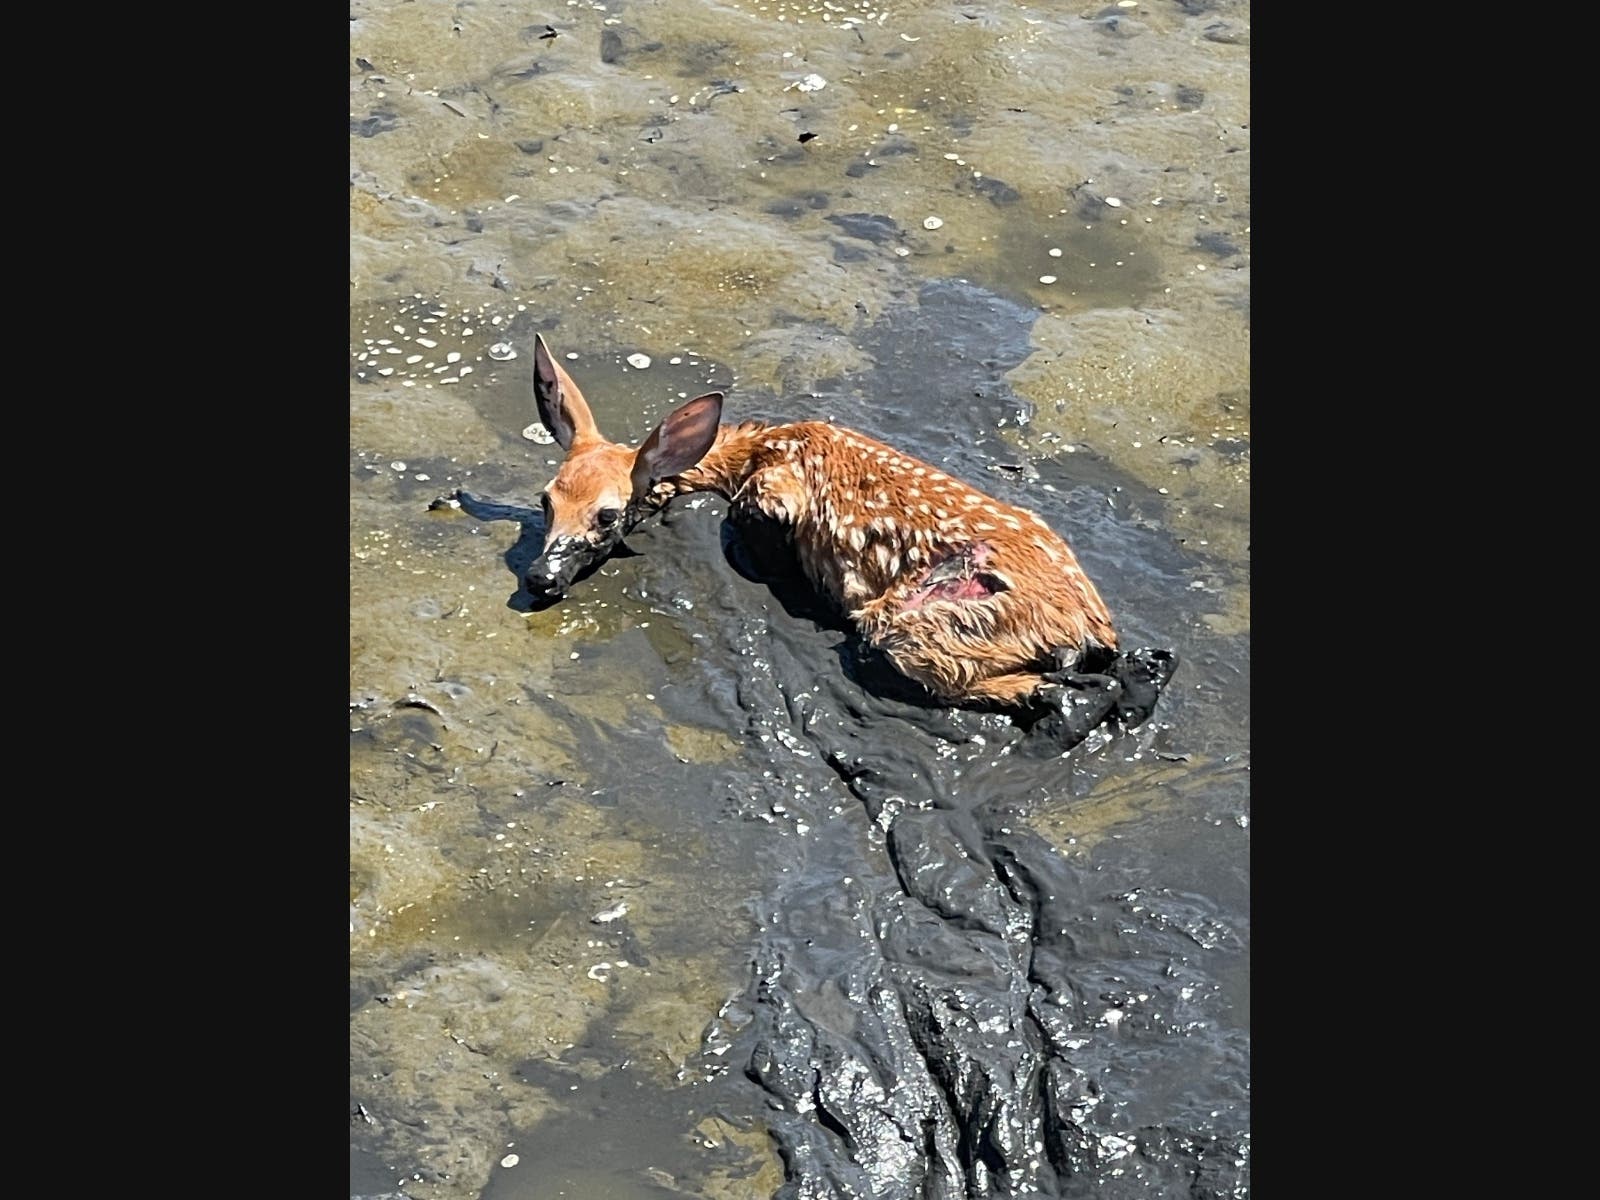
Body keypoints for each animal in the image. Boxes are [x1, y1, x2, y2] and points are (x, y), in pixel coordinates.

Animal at [517, 334, 1175, 745]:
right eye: (545, 500)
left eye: (606, 516)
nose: (539, 577)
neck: (754, 451)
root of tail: (1092, 627)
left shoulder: (771, 497)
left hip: (920, 624)